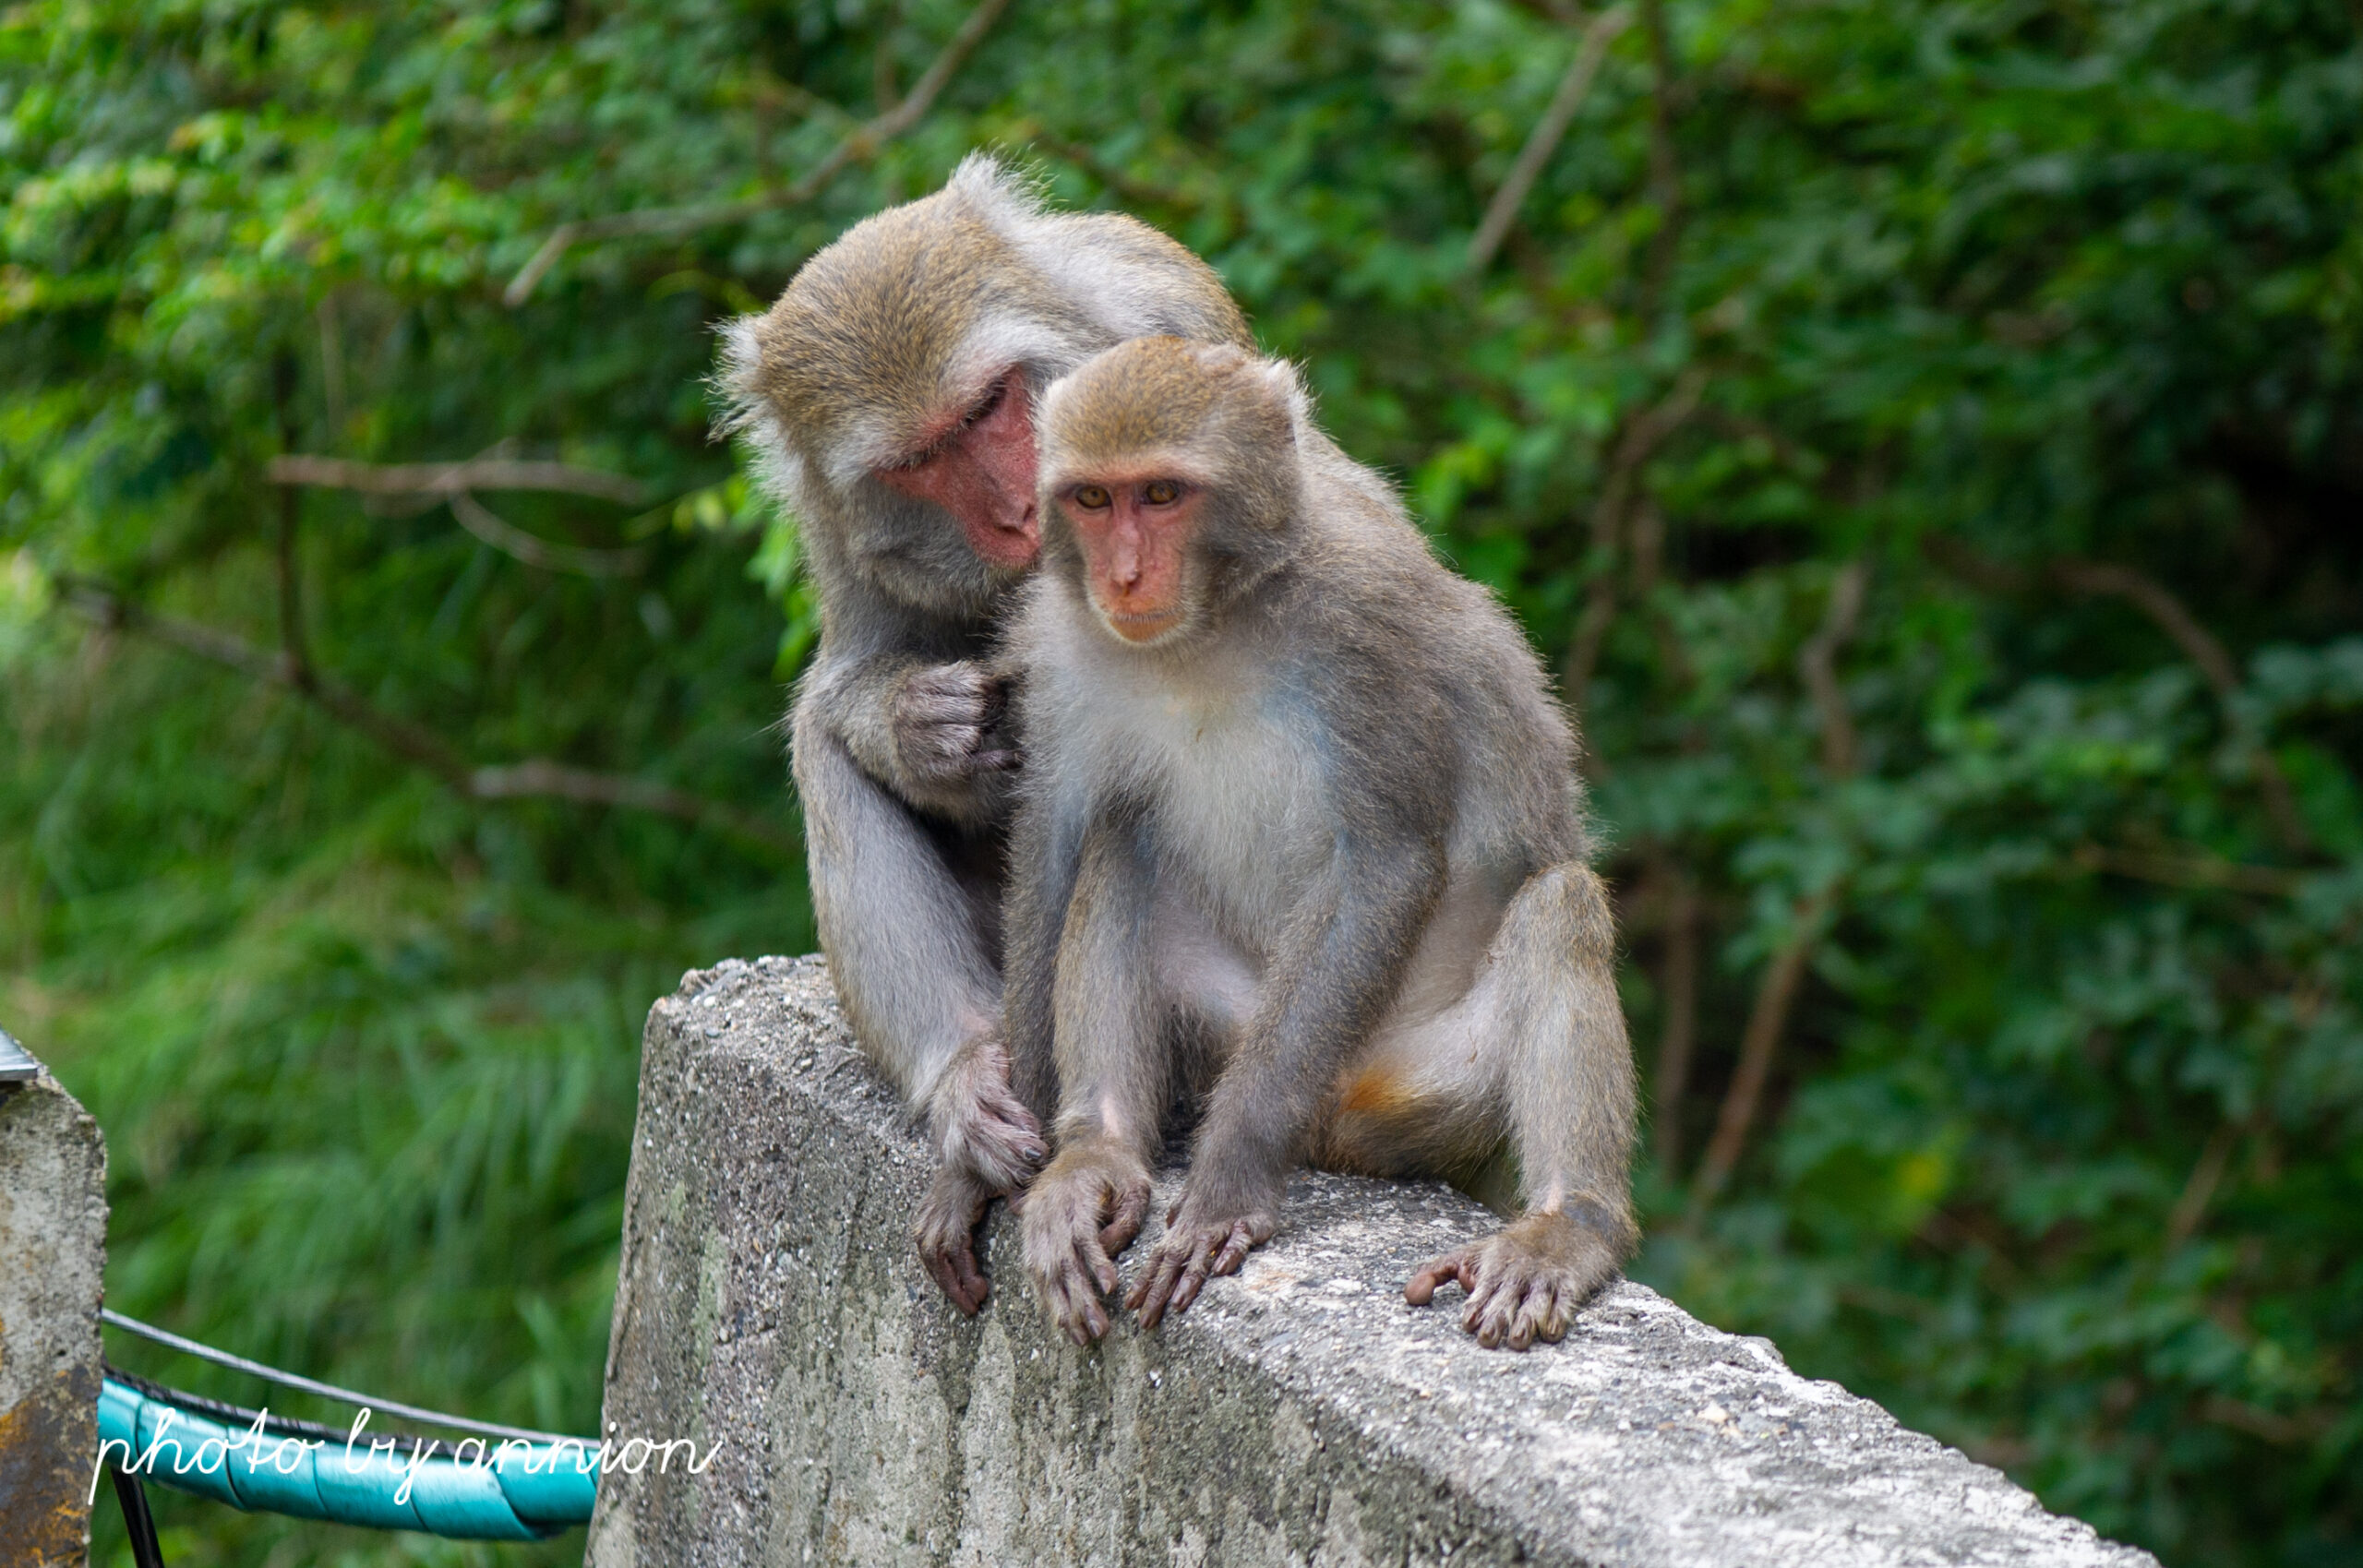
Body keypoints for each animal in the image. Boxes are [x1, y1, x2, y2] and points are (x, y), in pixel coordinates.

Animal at [718, 159, 1256, 1312]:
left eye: (988, 404)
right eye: (921, 457)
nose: (1016, 507)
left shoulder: (1180, 341)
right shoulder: (831, 516)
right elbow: (849, 678)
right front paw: (922, 729)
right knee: (821, 747)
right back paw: (964, 1079)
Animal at [1002, 337, 1644, 1350]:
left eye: (1162, 494)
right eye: (1094, 499)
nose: (1124, 576)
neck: (1213, 625)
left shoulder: (1363, 630)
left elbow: (1385, 862)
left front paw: (1226, 1187)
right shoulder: (1063, 643)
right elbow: (1058, 842)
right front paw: (993, 1166)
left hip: (1425, 1090)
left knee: (1559, 905)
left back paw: (1567, 1226)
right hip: (1230, 1024)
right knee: (1121, 842)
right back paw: (1099, 1151)